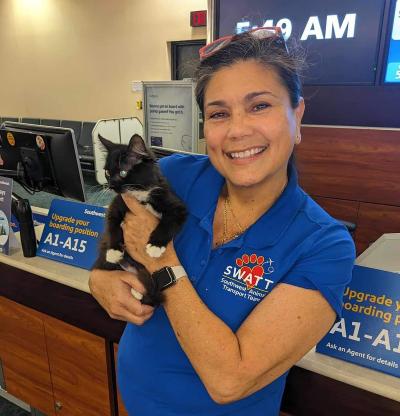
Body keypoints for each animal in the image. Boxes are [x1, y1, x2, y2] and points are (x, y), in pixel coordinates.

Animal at [93, 135, 188, 308]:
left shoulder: (176, 207)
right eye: (107, 172)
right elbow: (113, 226)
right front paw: (113, 250)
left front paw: (155, 246)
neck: (140, 193)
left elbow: (168, 224)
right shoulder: (116, 206)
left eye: (123, 172)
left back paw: (138, 291)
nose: (111, 185)